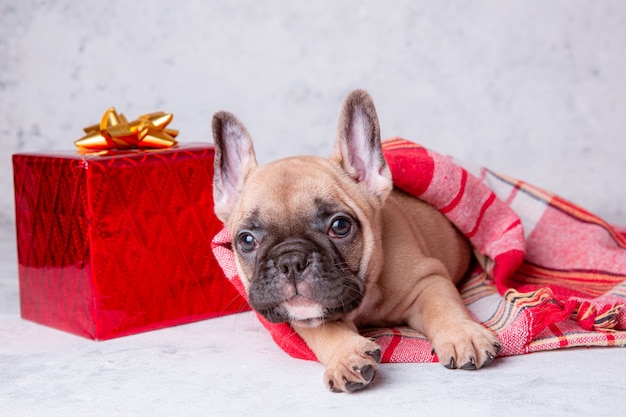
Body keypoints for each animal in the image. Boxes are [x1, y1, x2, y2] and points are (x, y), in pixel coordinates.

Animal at [212, 89, 500, 392]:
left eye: (340, 226)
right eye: (246, 240)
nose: (291, 260)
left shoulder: (428, 280)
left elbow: (442, 306)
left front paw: (462, 334)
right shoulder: (300, 316)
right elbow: (325, 329)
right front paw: (347, 355)